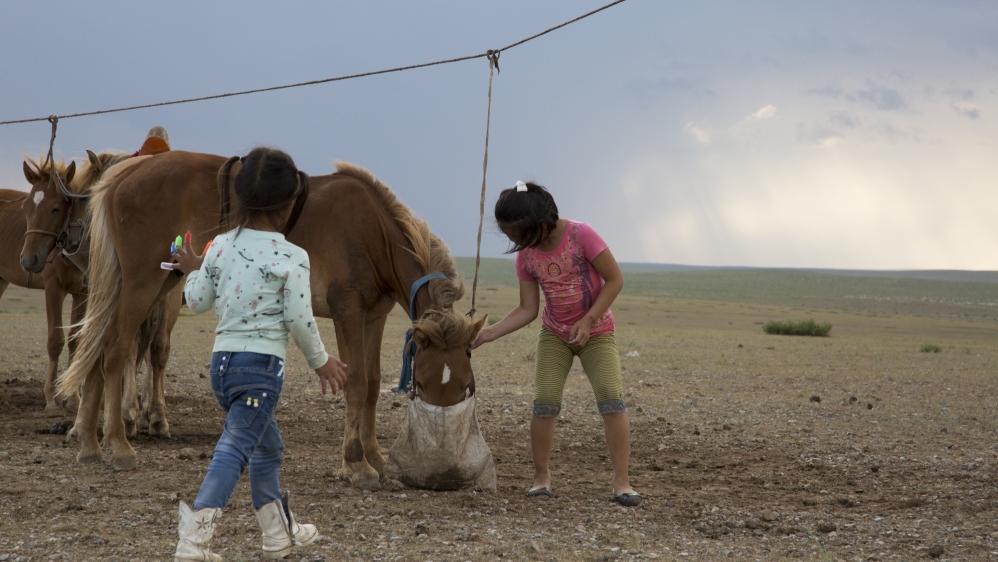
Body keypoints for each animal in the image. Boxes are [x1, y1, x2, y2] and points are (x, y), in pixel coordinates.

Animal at [0, 187, 87, 415]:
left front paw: (73, 398)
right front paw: (51, 399)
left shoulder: (81, 292)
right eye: (25, 209)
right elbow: (55, 341)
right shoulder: (53, 288)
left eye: (57, 208)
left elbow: (74, 340)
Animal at [57, 150, 486, 488]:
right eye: (424, 384)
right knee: (115, 348)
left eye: (467, 387)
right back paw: (118, 445)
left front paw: (375, 457)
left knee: (98, 347)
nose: (444, 472)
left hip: (159, 282)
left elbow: (372, 385)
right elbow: (356, 382)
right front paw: (356, 464)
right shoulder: (348, 311)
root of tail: (126, 173)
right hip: (144, 284)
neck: (373, 230)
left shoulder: (373, 318)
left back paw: (90, 445)